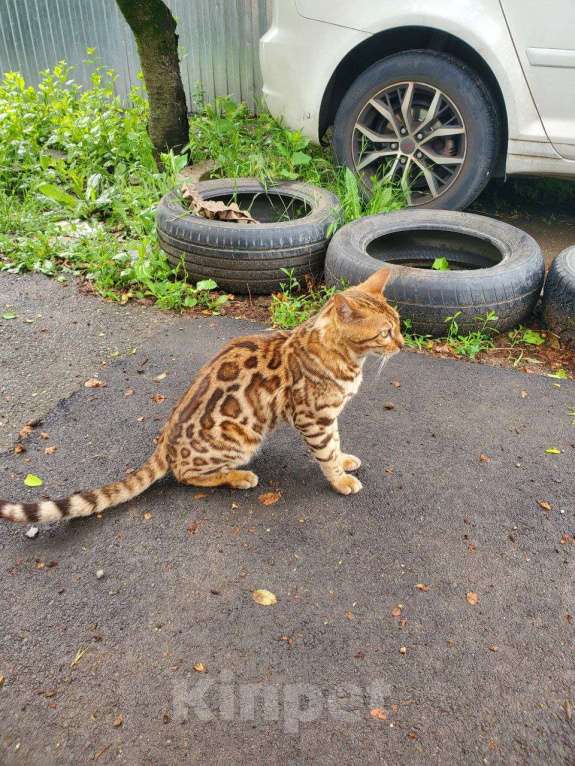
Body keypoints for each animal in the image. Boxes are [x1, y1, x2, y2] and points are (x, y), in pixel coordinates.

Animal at [1, 268, 404, 524]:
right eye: (385, 332)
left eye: (399, 325)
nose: (401, 344)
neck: (347, 356)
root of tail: (165, 442)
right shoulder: (313, 417)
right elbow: (326, 454)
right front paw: (340, 480)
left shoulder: (327, 418)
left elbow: (336, 443)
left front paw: (345, 460)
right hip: (242, 438)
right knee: (185, 475)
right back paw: (238, 477)